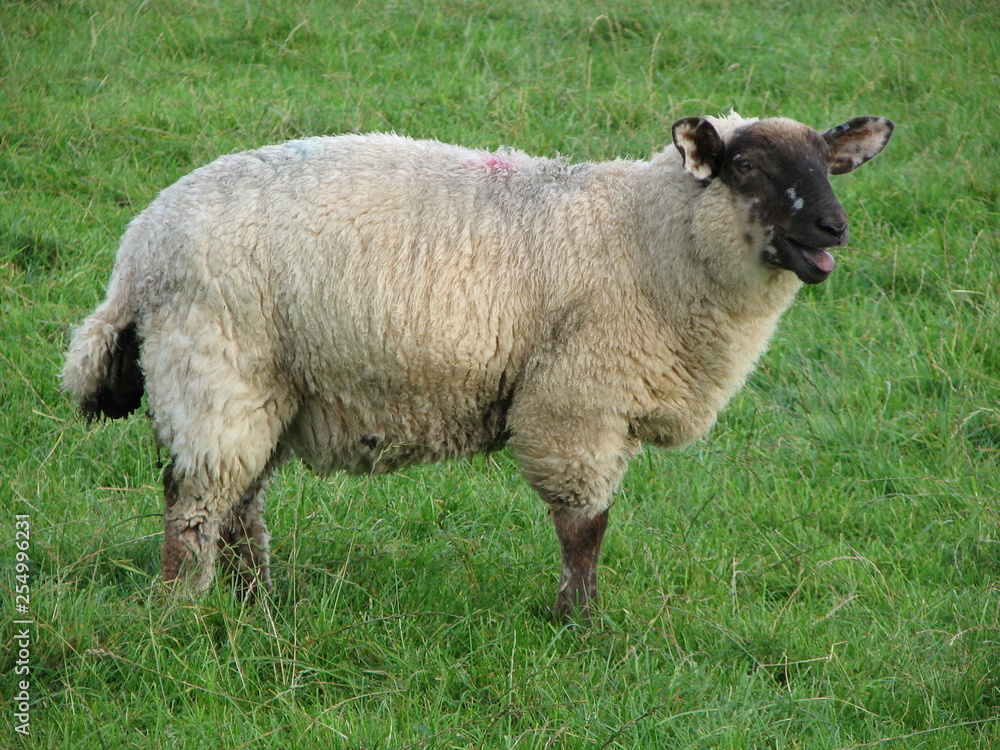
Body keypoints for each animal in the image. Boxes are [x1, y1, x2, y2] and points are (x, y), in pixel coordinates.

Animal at [62, 112, 893, 621]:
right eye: (746, 165)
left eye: (828, 165)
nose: (833, 227)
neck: (646, 238)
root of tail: (136, 253)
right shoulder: (575, 404)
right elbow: (585, 528)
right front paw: (579, 625)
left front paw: (577, 619)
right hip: (213, 366)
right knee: (194, 510)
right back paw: (183, 614)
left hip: (265, 389)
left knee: (239, 509)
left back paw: (258, 609)